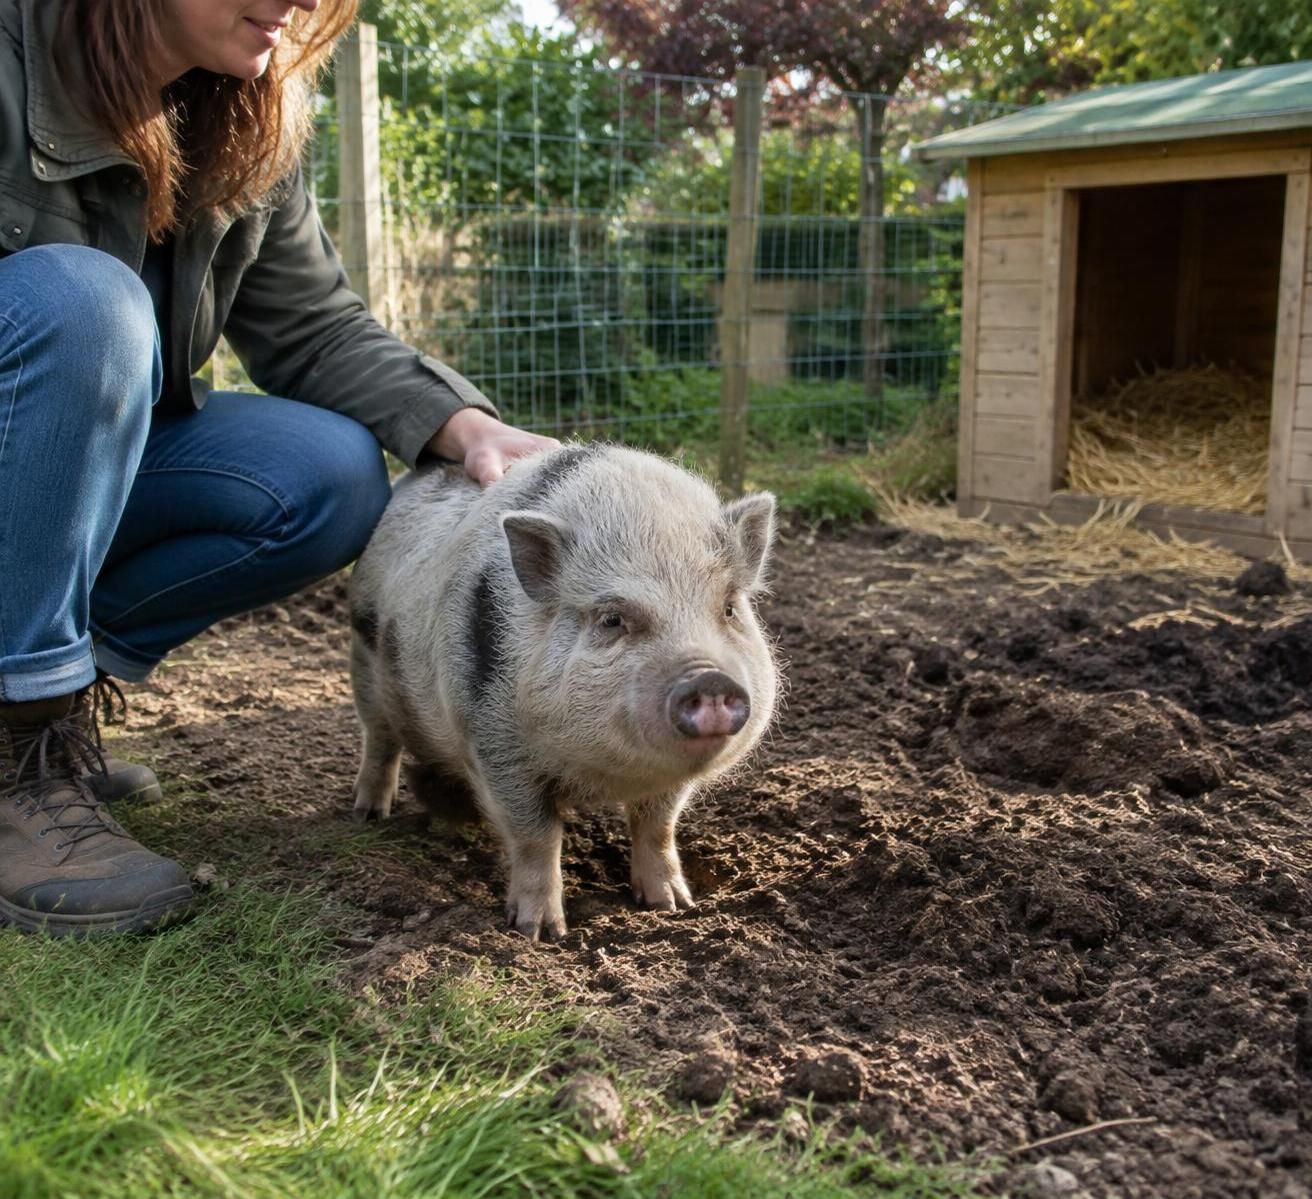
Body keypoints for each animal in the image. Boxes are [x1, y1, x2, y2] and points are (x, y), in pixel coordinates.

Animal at [347, 442, 780, 941]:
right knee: (380, 741)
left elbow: (657, 826)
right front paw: (539, 933)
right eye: (612, 619)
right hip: (363, 657)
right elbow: (535, 835)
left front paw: (672, 905)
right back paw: (369, 814)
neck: (602, 774)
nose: (710, 678)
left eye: (728, 609)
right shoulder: (493, 739)